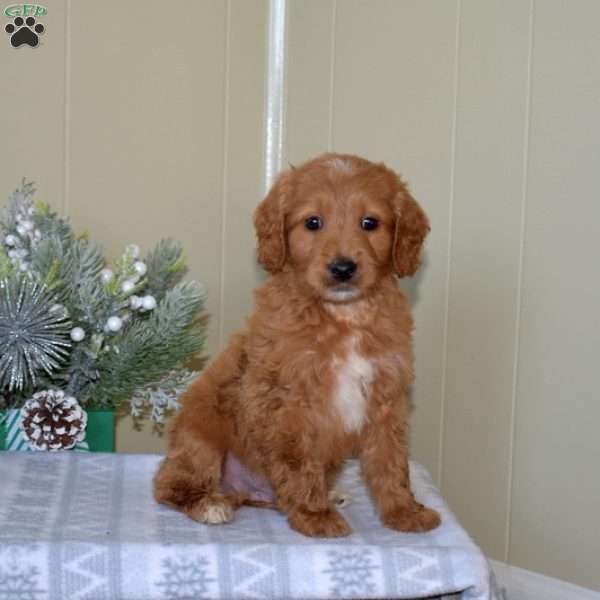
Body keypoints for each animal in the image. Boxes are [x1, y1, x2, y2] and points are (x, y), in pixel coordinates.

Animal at [155, 152, 440, 536]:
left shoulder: (386, 397)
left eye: (370, 222)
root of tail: (247, 492)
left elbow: (391, 461)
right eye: (313, 222)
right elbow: (298, 460)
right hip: (201, 436)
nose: (343, 268)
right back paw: (208, 504)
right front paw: (313, 514)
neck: (345, 317)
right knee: (169, 484)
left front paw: (404, 510)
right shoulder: (290, 399)